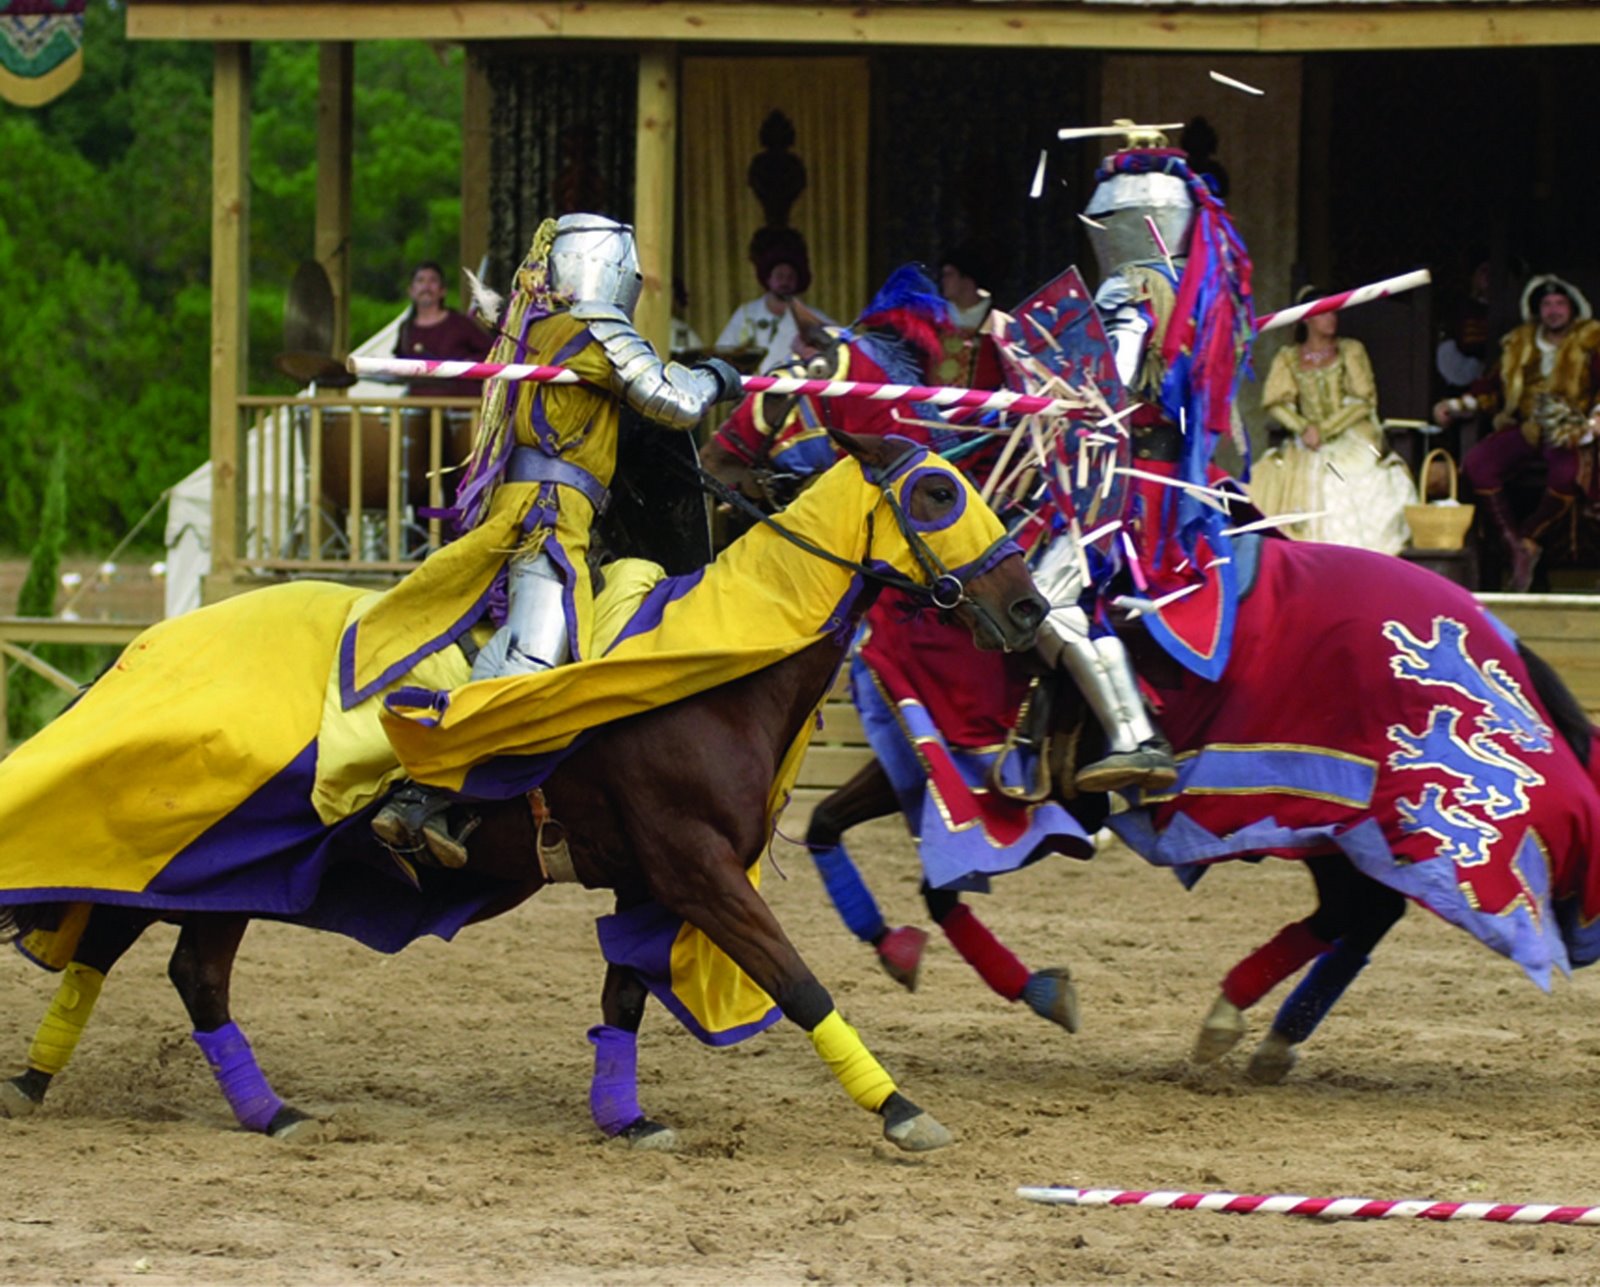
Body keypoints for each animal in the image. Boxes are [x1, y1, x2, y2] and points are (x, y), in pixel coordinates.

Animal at [3, 435, 1049, 1158]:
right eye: (936, 492)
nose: (1031, 608)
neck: (711, 671)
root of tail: (157, 643)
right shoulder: (699, 869)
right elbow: (795, 979)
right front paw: (902, 1109)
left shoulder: (648, 881)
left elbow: (624, 989)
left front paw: (625, 1117)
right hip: (216, 853)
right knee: (179, 965)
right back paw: (255, 1109)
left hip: (206, 864)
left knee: (125, 945)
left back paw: (62, 1083)